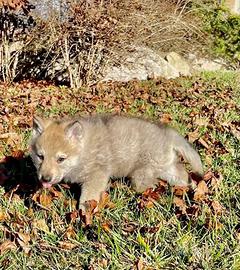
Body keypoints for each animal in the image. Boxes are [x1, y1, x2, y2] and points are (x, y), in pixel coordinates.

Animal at [29, 114, 202, 209]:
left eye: (61, 159)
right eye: (40, 156)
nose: (45, 179)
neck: (83, 151)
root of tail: (168, 133)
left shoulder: (97, 176)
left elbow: (87, 199)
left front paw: (84, 215)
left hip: (142, 176)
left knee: (153, 185)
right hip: (168, 169)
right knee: (184, 176)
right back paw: (194, 189)